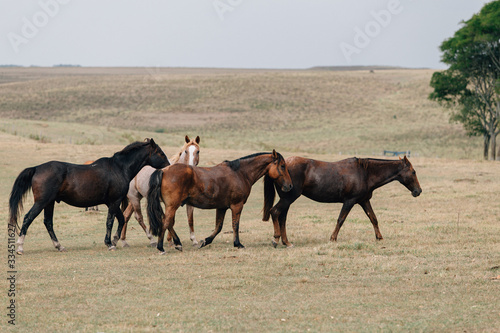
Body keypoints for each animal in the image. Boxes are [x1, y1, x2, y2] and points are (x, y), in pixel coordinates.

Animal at [8, 138, 170, 254]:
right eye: (161, 153)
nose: (168, 166)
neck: (119, 168)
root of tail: (36, 168)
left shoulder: (113, 202)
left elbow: (121, 219)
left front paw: (115, 240)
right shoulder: (114, 202)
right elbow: (110, 221)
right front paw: (109, 243)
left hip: (49, 203)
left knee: (48, 222)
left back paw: (59, 246)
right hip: (42, 202)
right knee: (28, 218)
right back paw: (20, 247)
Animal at [146, 149, 292, 253]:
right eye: (282, 166)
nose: (290, 186)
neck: (240, 173)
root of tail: (164, 171)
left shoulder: (221, 207)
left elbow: (218, 227)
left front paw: (205, 241)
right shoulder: (236, 206)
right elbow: (235, 225)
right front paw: (238, 244)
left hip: (171, 206)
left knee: (168, 223)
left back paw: (177, 244)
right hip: (173, 206)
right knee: (166, 222)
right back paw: (161, 247)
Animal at [262, 156, 422, 246]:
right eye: (413, 172)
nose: (418, 191)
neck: (364, 173)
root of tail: (278, 166)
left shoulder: (364, 201)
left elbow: (373, 218)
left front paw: (379, 237)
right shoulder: (349, 201)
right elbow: (341, 219)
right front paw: (333, 238)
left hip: (287, 199)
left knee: (282, 218)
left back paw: (286, 242)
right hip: (288, 198)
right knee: (275, 212)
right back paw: (276, 240)